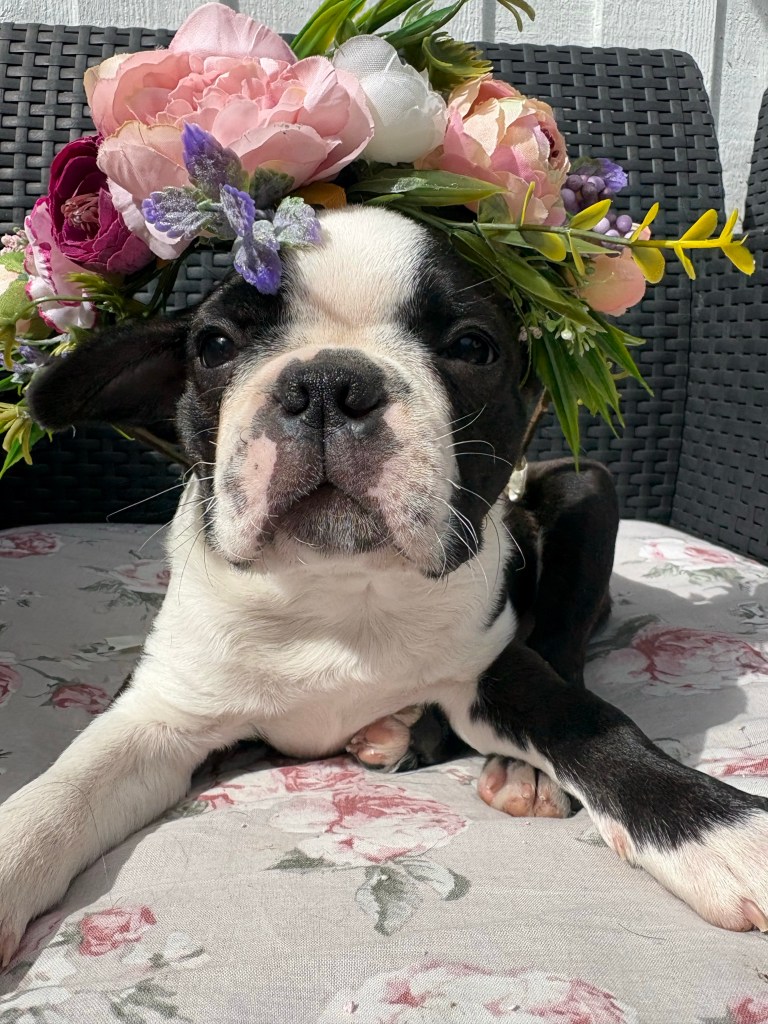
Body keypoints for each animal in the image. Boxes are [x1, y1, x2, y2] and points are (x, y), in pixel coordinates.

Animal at [0, 204, 765, 964]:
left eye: (473, 347)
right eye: (214, 344)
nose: (326, 386)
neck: (337, 595)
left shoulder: (492, 665)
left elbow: (590, 722)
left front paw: (720, 828)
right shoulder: (159, 711)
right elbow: (63, 788)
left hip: (584, 489)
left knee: (565, 642)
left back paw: (496, 761)